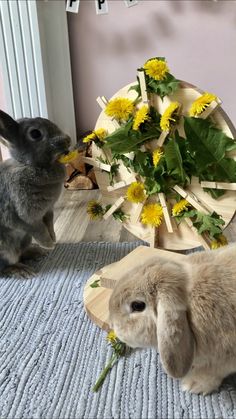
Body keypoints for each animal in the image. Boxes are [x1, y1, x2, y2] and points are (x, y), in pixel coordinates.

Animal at [0, 110, 70, 278]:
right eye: (35, 134)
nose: (67, 140)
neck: (29, 165)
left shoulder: (48, 210)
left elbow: (49, 223)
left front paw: (53, 238)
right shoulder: (25, 218)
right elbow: (38, 230)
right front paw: (49, 244)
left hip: (24, 239)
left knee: (22, 252)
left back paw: (37, 253)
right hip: (6, 249)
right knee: (6, 265)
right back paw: (22, 270)